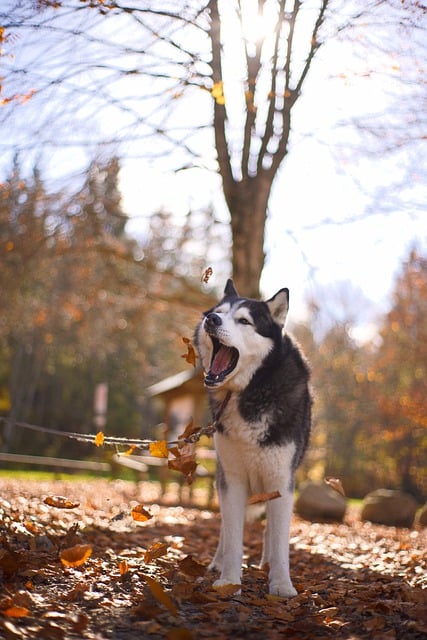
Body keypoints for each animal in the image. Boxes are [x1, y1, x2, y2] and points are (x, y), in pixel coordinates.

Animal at [195, 278, 310, 596]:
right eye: (219, 312)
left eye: (244, 321)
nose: (211, 319)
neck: (252, 390)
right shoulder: (232, 480)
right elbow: (233, 537)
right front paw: (229, 581)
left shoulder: (281, 481)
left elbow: (280, 540)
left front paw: (281, 584)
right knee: (225, 528)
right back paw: (218, 562)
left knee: (270, 530)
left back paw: (266, 563)